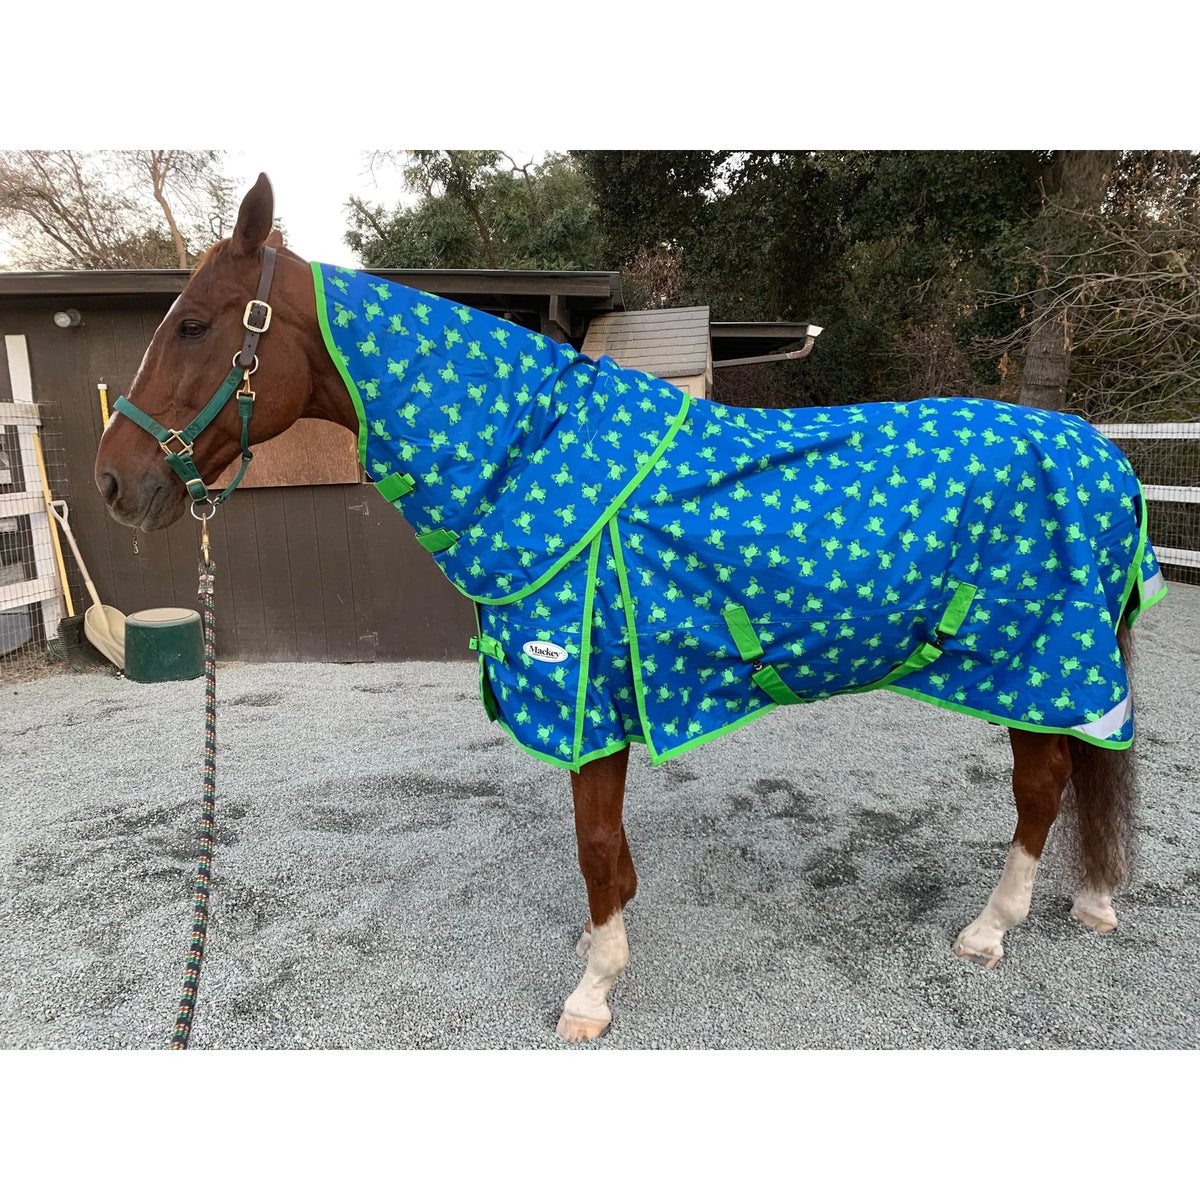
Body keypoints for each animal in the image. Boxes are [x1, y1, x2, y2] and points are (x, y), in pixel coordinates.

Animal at [95, 174, 1165, 1042]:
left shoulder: (583, 697)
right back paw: (1092, 901)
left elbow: (596, 847)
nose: (113, 483)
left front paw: (593, 990)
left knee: (1044, 788)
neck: (531, 457)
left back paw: (990, 931)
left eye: (194, 324)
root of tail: (1100, 449)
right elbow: (610, 860)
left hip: (1040, 667)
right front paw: (598, 944)